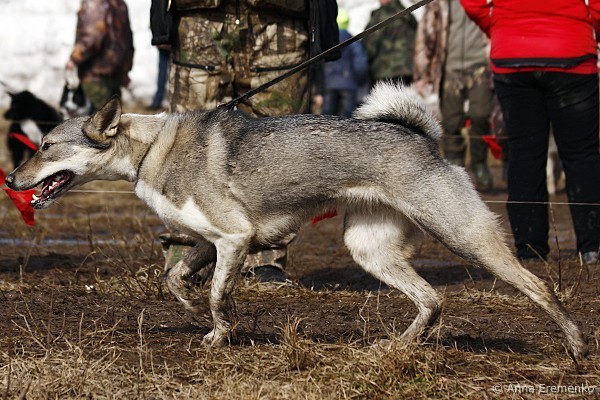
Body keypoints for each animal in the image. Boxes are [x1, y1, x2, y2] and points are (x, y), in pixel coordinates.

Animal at [5, 83, 587, 359]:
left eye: (46, 146)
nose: (11, 178)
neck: (150, 148)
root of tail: (423, 138)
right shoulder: (210, 240)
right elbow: (175, 278)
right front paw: (193, 309)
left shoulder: (234, 239)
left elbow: (218, 296)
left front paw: (219, 334)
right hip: (370, 249)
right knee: (432, 300)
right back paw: (397, 347)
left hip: (464, 236)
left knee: (537, 286)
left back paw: (577, 344)